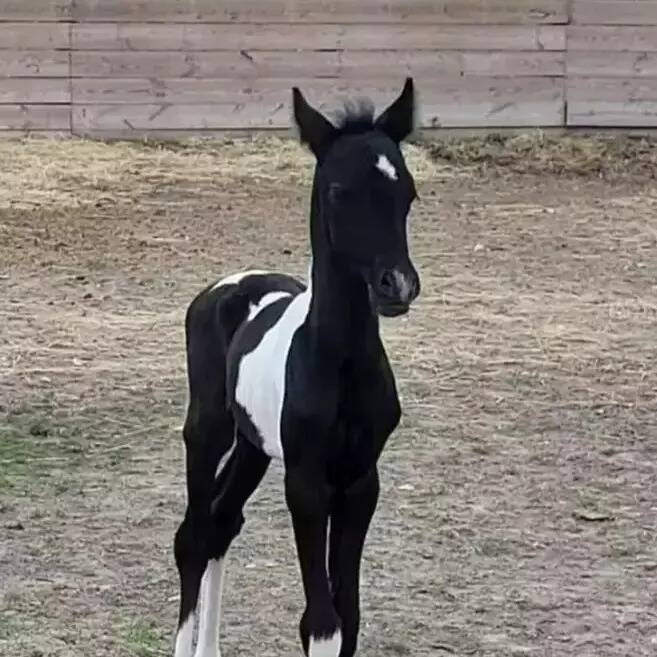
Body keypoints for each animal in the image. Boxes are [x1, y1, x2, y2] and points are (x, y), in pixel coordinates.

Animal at [173, 78, 421, 657]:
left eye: (408, 193)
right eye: (338, 191)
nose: (397, 286)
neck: (339, 363)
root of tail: (225, 286)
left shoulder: (360, 482)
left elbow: (348, 616)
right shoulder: (306, 483)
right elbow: (322, 622)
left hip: (253, 447)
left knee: (221, 524)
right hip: (208, 432)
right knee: (192, 537)